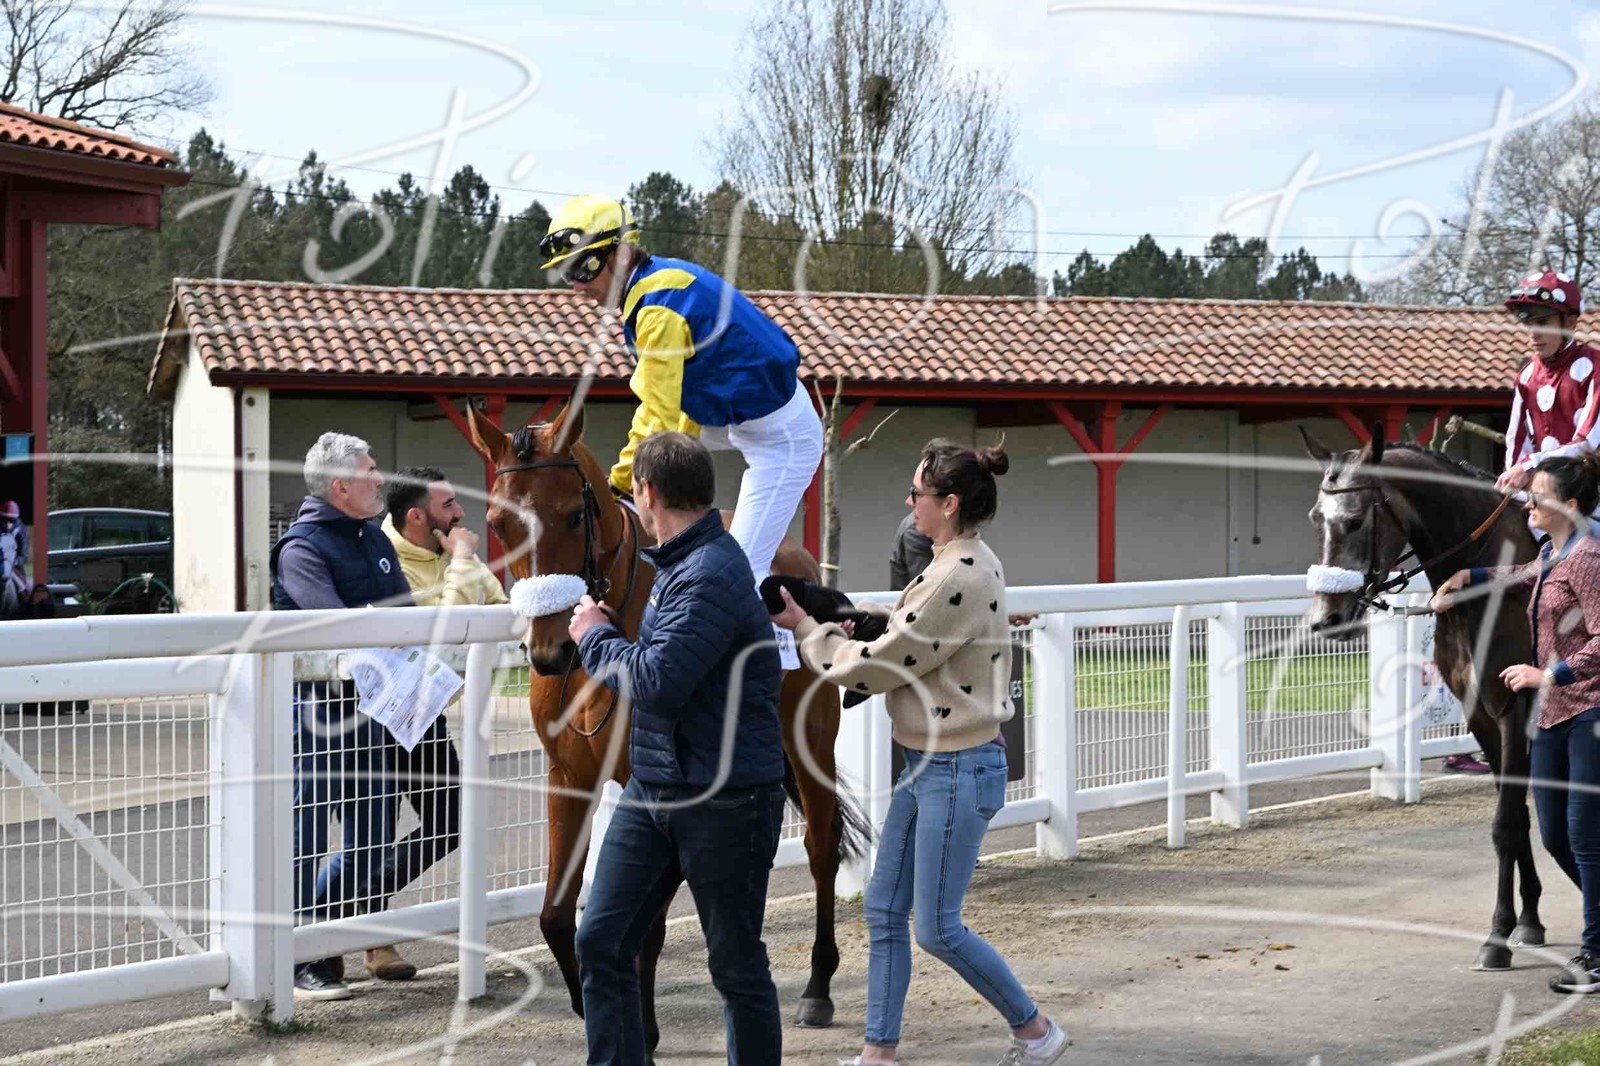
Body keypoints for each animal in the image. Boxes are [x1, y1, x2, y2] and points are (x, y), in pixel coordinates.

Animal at [1302, 430, 1544, 970]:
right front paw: (1527, 919)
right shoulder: (1481, 715)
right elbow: (1516, 818)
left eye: (1354, 520)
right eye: (1315, 517)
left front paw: (1497, 937)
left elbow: (1506, 823)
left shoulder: (1515, 709)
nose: (1328, 619)